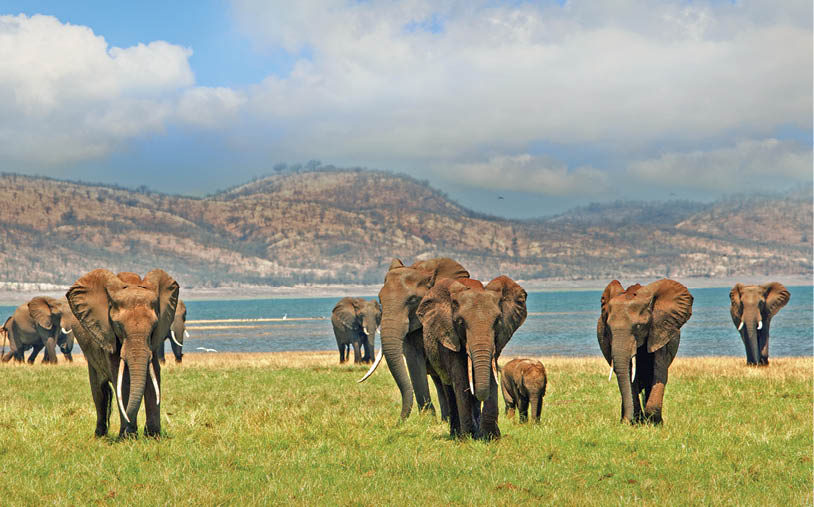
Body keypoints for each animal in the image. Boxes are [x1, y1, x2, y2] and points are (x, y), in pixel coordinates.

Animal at [66, 269, 179, 438]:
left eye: (154, 326)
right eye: (118, 326)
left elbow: (154, 376)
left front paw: (153, 437)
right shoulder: (108, 333)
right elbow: (123, 379)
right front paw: (127, 437)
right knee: (99, 392)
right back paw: (99, 435)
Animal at [359, 257, 471, 421]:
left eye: (412, 300)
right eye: (380, 300)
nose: (399, 421)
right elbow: (414, 360)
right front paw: (427, 419)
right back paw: (444, 420)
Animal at [417, 276, 528, 439]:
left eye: (497, 321)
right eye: (460, 322)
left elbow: (490, 375)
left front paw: (491, 437)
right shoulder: (449, 337)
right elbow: (460, 379)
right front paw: (466, 438)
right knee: (449, 390)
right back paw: (457, 435)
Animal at [598, 279, 693, 424]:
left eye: (638, 326)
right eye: (607, 328)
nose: (626, 422)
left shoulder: (660, 330)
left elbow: (659, 372)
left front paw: (655, 423)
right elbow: (630, 376)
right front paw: (636, 422)